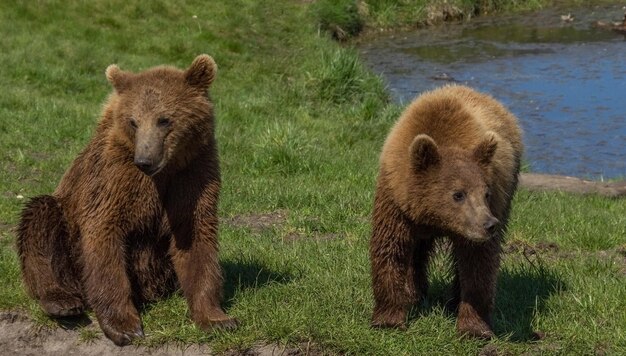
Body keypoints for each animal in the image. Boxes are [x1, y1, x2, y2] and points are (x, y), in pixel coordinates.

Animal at [17, 54, 236, 346]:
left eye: (164, 120)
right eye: (133, 121)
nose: (144, 160)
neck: (165, 170)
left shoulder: (193, 175)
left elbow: (195, 239)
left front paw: (217, 319)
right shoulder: (114, 177)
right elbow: (104, 233)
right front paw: (124, 326)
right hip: (65, 234)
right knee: (40, 220)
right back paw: (61, 301)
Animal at [368, 84, 520, 340]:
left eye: (486, 193)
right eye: (458, 194)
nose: (489, 224)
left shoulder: (486, 208)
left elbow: (478, 262)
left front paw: (474, 327)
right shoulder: (396, 201)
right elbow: (390, 248)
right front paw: (388, 319)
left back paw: (452, 301)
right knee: (417, 251)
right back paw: (414, 293)